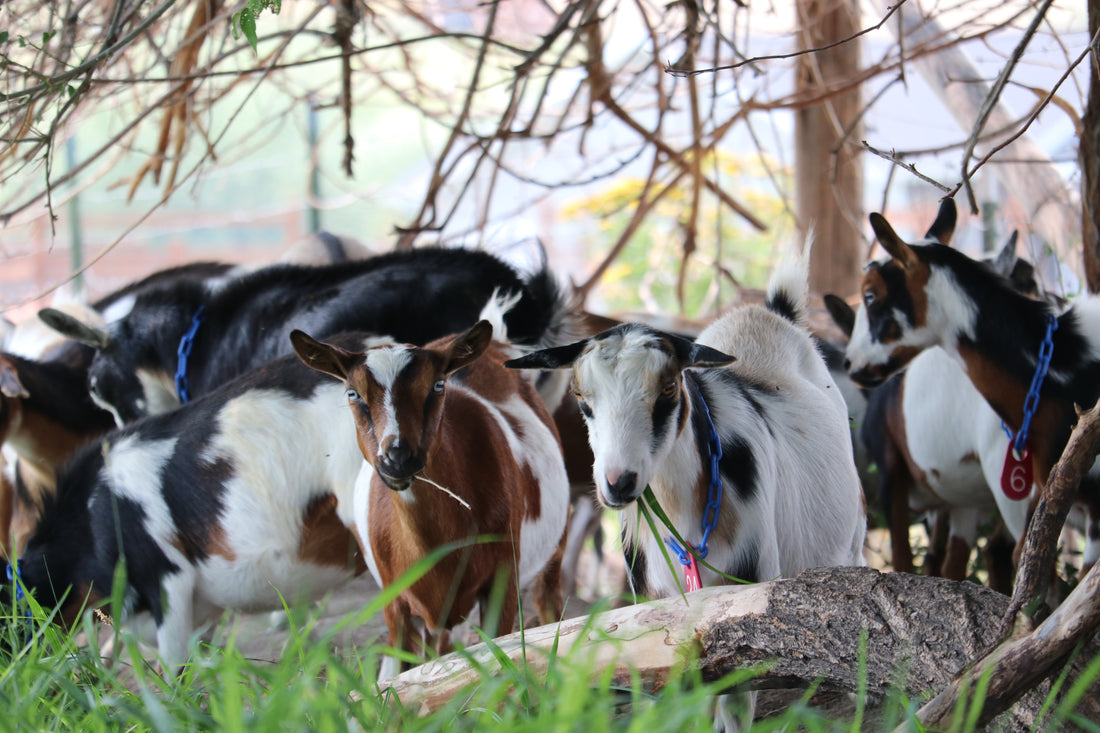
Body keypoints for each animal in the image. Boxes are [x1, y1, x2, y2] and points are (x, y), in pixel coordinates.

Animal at [292, 320, 570, 678]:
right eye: (353, 393)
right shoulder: (395, 601)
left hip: (555, 543)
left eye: (437, 385)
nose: (398, 457)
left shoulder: (502, 580)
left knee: (548, 597)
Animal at [506, 249, 866, 730]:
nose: (618, 483)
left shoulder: (748, 604)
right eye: (582, 399)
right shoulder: (657, 617)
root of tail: (774, 313)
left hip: (853, 538)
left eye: (668, 389)